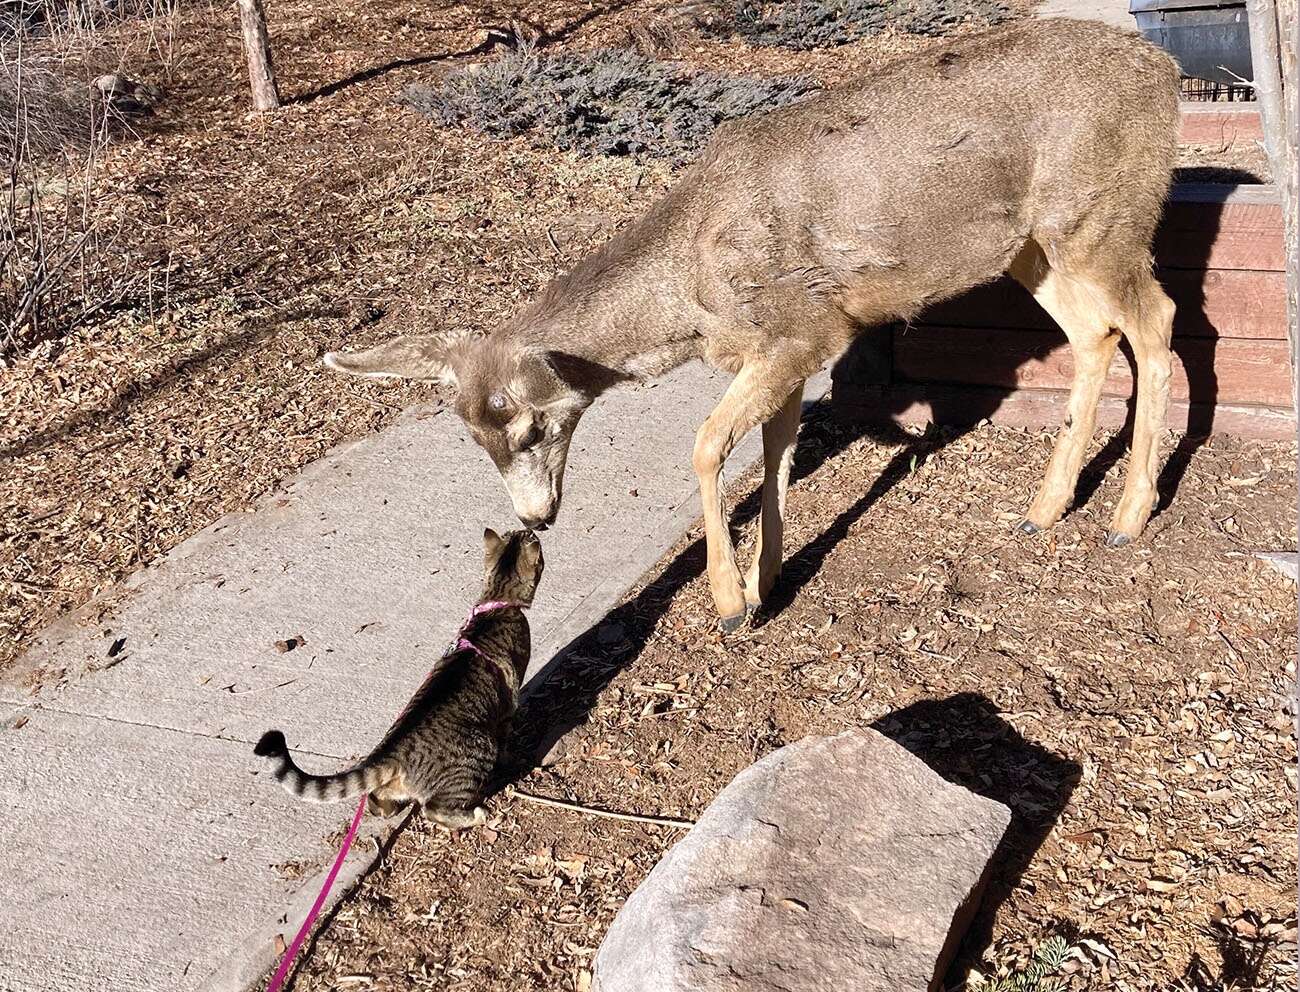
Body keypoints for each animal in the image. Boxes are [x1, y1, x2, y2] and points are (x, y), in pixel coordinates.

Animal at [253, 527, 543, 832]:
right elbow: (507, 741)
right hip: (479, 747)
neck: (496, 601)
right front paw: (513, 760)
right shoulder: (508, 706)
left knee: (377, 796)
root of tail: (393, 753)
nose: (532, 530)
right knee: (434, 809)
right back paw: (477, 815)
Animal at [322, 19, 1180, 631]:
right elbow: (773, 451)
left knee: (1156, 320)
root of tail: (1165, 71)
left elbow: (708, 446)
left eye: (531, 426)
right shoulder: (783, 352)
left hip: (1105, 214)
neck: (688, 297)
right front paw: (771, 576)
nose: (535, 516)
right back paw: (1045, 509)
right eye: (473, 439)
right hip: (1035, 244)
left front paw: (731, 602)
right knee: (1095, 334)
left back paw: (1129, 516)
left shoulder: (804, 328)